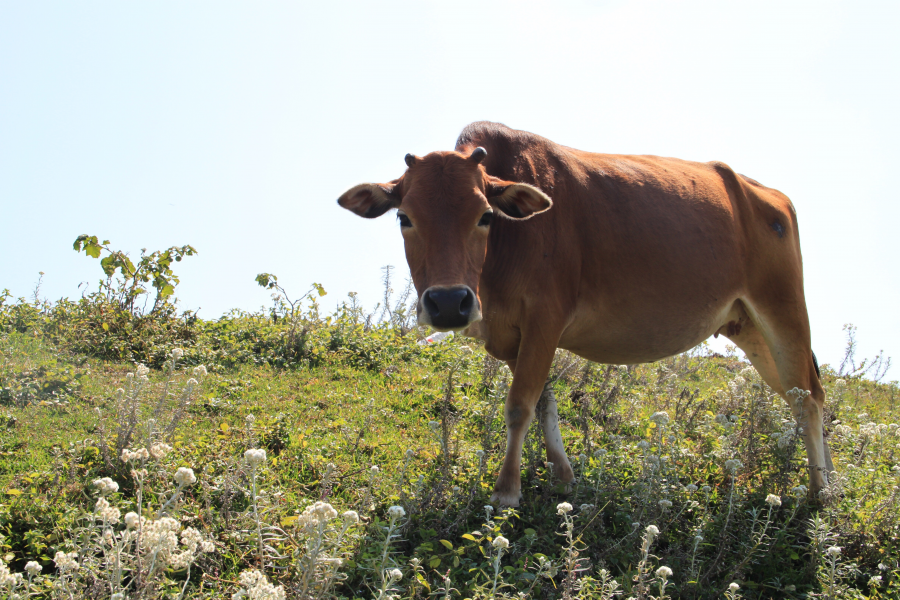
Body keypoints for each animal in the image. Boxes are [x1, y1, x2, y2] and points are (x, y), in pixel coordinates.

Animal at [336, 122, 828, 506]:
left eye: (485, 216)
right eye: (404, 217)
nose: (448, 302)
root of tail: (767, 195)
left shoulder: (545, 319)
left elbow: (519, 405)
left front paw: (507, 489)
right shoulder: (514, 335)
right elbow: (544, 403)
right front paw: (563, 475)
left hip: (783, 311)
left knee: (810, 399)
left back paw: (820, 494)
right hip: (749, 326)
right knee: (799, 396)